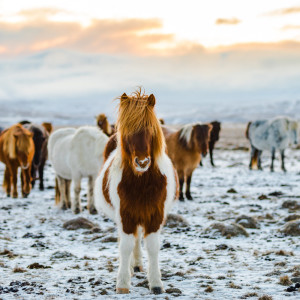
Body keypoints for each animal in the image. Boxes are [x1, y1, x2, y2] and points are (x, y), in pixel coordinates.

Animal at [94, 90, 178, 294]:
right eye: (128, 131)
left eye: (151, 129)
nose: (142, 162)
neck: (142, 183)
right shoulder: (126, 215)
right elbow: (125, 246)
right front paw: (123, 283)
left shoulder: (155, 215)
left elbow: (153, 247)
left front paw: (156, 283)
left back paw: (138, 265)